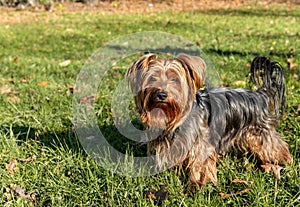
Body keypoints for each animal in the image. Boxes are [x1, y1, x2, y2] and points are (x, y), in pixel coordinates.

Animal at [126, 53, 290, 188]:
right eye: (152, 78)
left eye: (175, 80)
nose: (161, 94)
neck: (171, 118)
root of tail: (259, 95)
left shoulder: (201, 145)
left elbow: (199, 165)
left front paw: (195, 186)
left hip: (261, 131)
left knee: (275, 145)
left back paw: (284, 162)